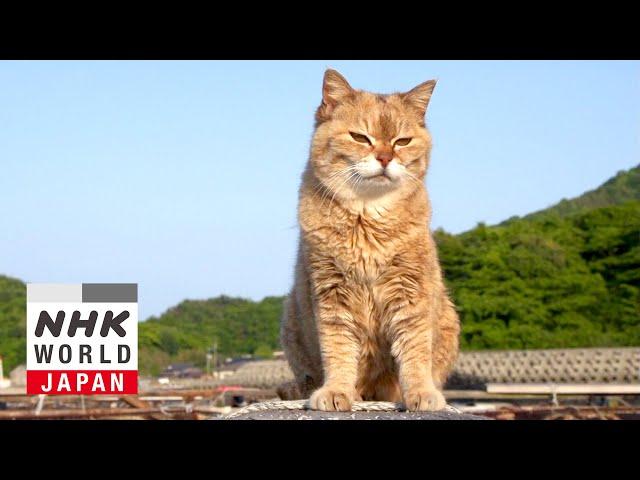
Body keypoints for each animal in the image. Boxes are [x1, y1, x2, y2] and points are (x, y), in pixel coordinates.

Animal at [280, 70, 460, 412]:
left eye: (402, 141)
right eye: (361, 137)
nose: (385, 157)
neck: (366, 219)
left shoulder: (410, 292)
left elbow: (415, 351)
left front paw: (420, 392)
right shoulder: (331, 294)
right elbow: (338, 351)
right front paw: (337, 391)